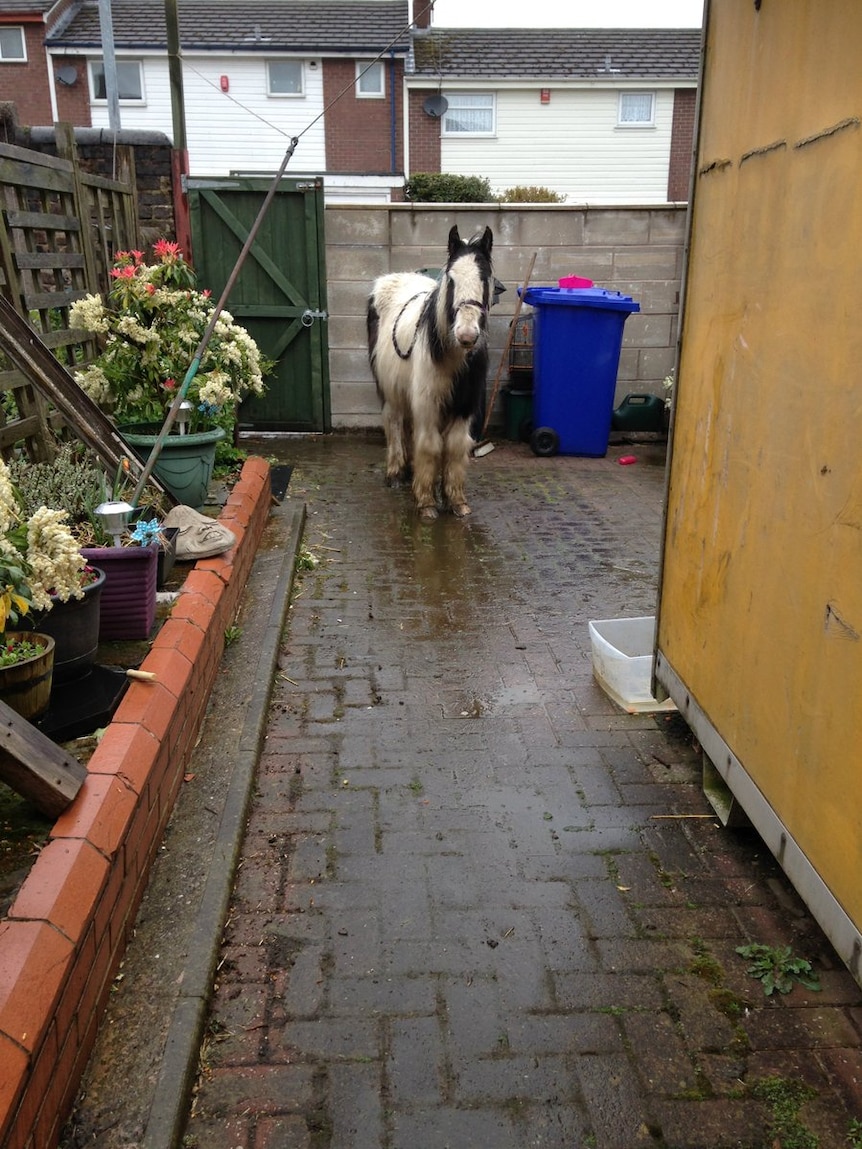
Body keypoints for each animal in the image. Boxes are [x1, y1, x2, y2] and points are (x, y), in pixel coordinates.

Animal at [367, 224, 496, 521]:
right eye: (451, 279)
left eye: (485, 278)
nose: (467, 335)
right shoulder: (428, 405)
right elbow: (430, 445)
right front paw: (426, 502)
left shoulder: (463, 408)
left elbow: (455, 447)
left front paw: (456, 501)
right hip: (391, 392)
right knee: (394, 424)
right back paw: (395, 473)